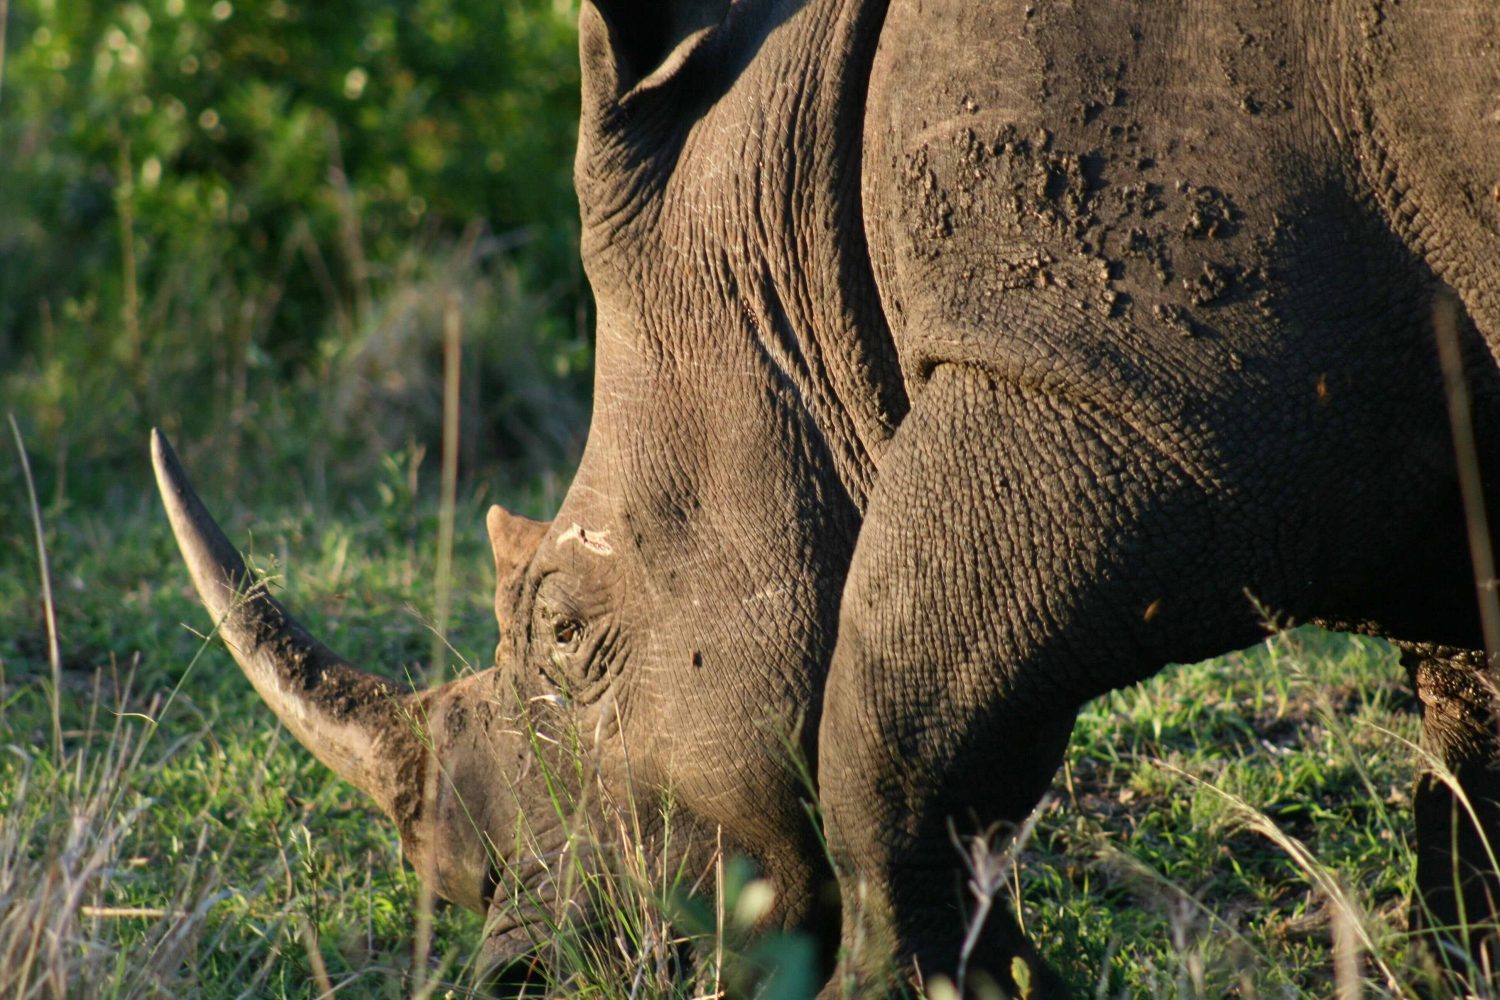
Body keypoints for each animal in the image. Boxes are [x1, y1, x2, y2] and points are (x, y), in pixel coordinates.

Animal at [155, 0, 1500, 995]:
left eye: (565, 629)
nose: (520, 977)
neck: (790, 220)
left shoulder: (1127, 383)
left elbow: (893, 705)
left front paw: (909, 986)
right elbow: (1469, 733)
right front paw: (1460, 962)